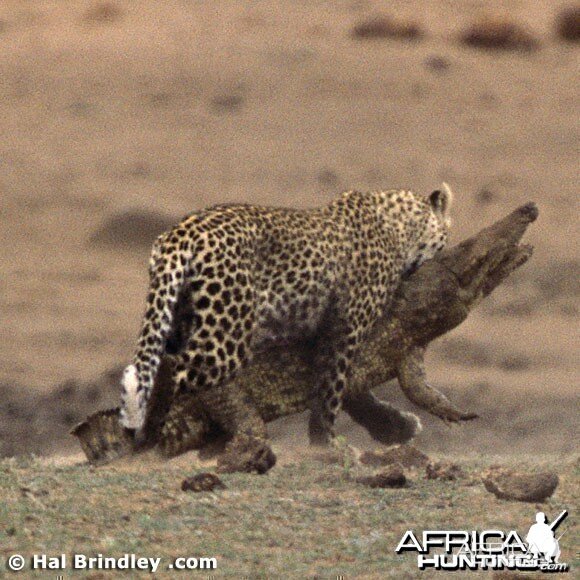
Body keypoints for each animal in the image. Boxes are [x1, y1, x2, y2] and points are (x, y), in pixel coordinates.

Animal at [118, 184, 454, 446]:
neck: (400, 228)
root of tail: (180, 232)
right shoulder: (345, 328)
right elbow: (332, 389)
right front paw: (326, 444)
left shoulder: (311, 334)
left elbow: (344, 388)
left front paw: (393, 427)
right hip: (227, 339)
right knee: (172, 371)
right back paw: (148, 435)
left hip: (175, 317)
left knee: (150, 366)